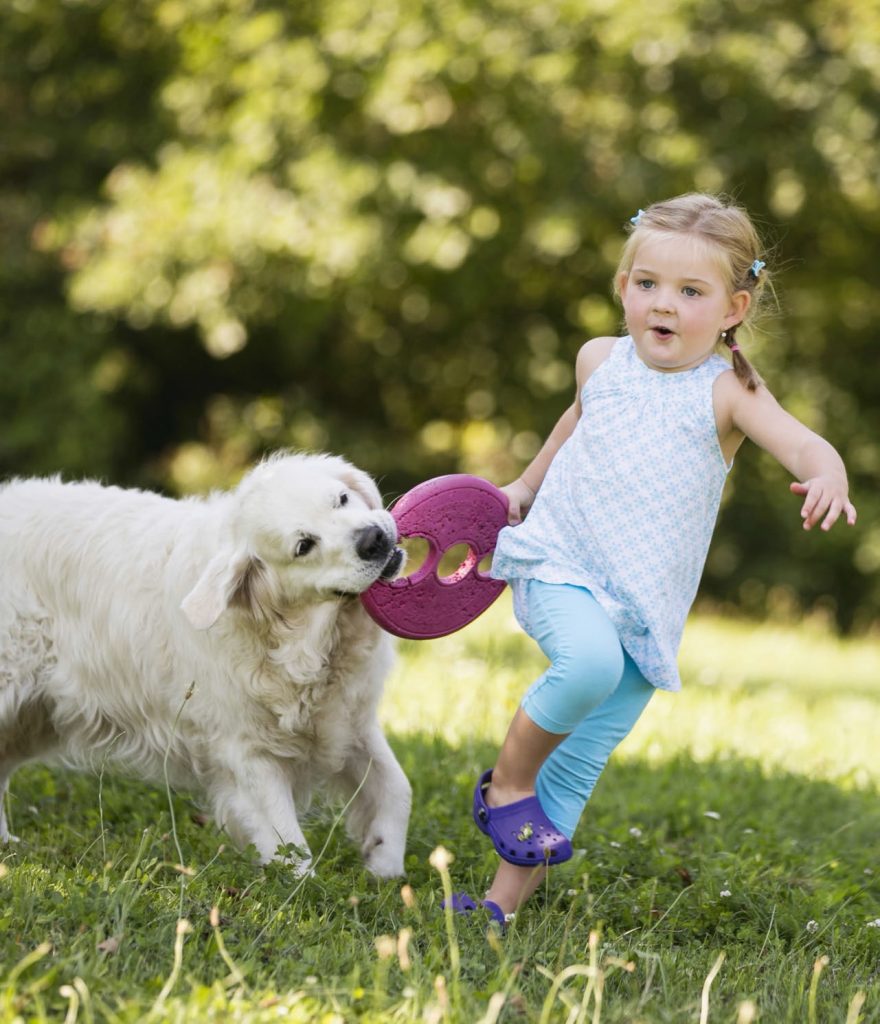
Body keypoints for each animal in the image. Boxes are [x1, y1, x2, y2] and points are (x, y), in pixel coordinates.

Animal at [0, 452, 413, 876]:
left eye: (342, 499)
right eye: (304, 546)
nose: (373, 539)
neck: (302, 641)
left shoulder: (349, 722)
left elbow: (396, 788)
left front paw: (386, 865)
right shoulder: (247, 753)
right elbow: (289, 843)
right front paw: (306, 886)